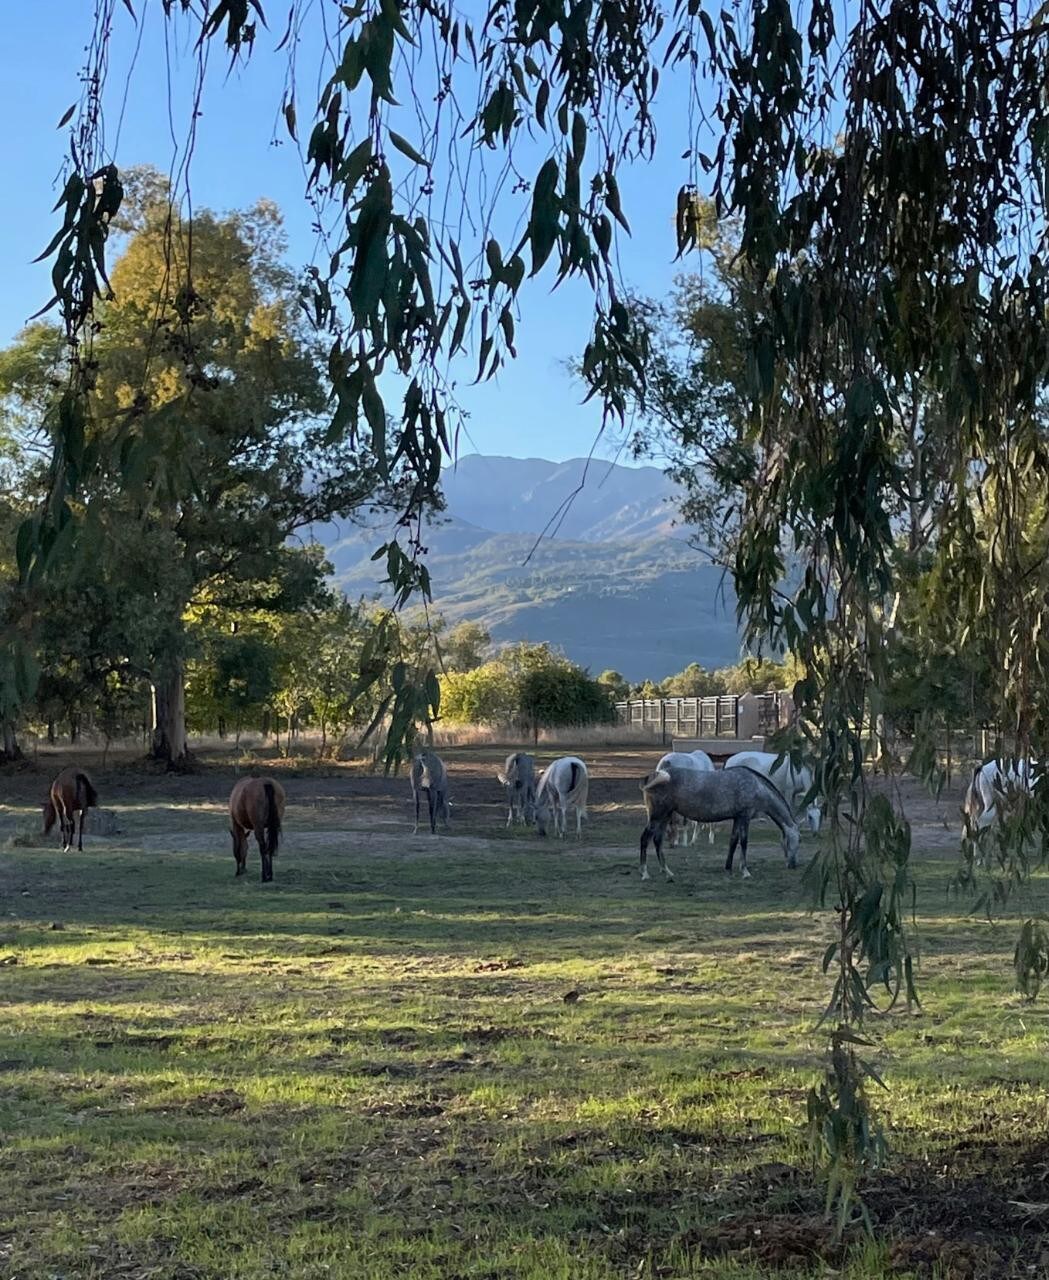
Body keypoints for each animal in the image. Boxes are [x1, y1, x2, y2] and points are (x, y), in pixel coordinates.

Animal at [634, 757, 798, 880]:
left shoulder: (737, 818)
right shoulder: (744, 817)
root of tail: (654, 775)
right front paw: (745, 871)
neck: (756, 786)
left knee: (657, 840)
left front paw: (728, 868)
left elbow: (733, 841)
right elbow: (744, 842)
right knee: (644, 839)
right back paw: (645, 873)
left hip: (665, 816)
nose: (793, 865)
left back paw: (666, 871)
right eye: (797, 840)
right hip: (657, 816)